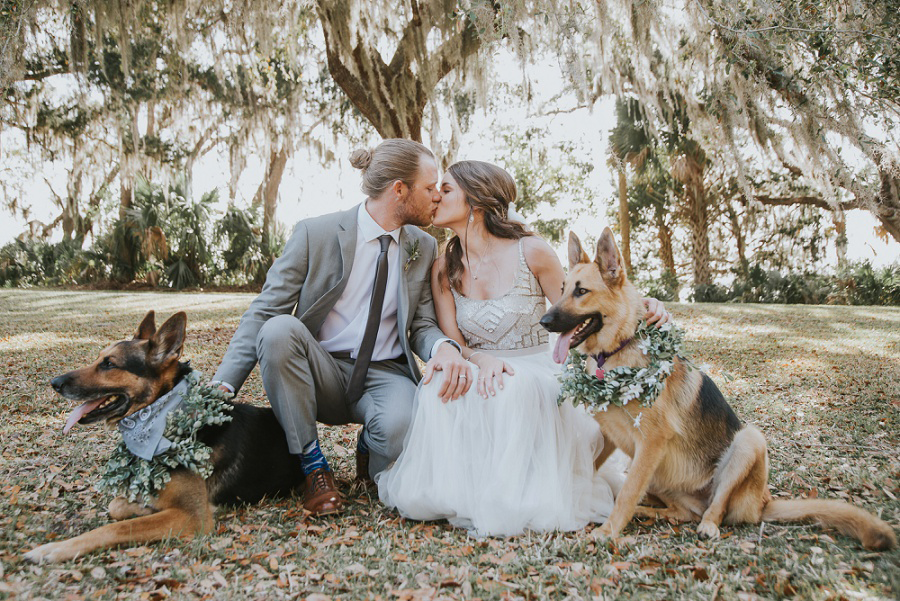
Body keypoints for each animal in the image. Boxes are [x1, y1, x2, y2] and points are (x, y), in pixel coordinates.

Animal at [23, 312, 306, 560]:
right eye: (99, 359)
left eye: (109, 364)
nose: (55, 383)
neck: (165, 417)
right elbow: (116, 505)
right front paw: (139, 506)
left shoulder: (193, 516)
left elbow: (117, 527)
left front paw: (56, 549)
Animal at [536, 229, 896, 548]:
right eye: (563, 288)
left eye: (581, 292)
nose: (544, 321)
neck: (619, 349)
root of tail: (763, 502)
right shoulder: (615, 436)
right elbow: (592, 465)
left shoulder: (651, 441)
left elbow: (626, 492)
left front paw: (608, 531)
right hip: (661, 476)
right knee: (682, 512)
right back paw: (649, 512)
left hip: (749, 441)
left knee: (716, 509)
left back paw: (707, 526)